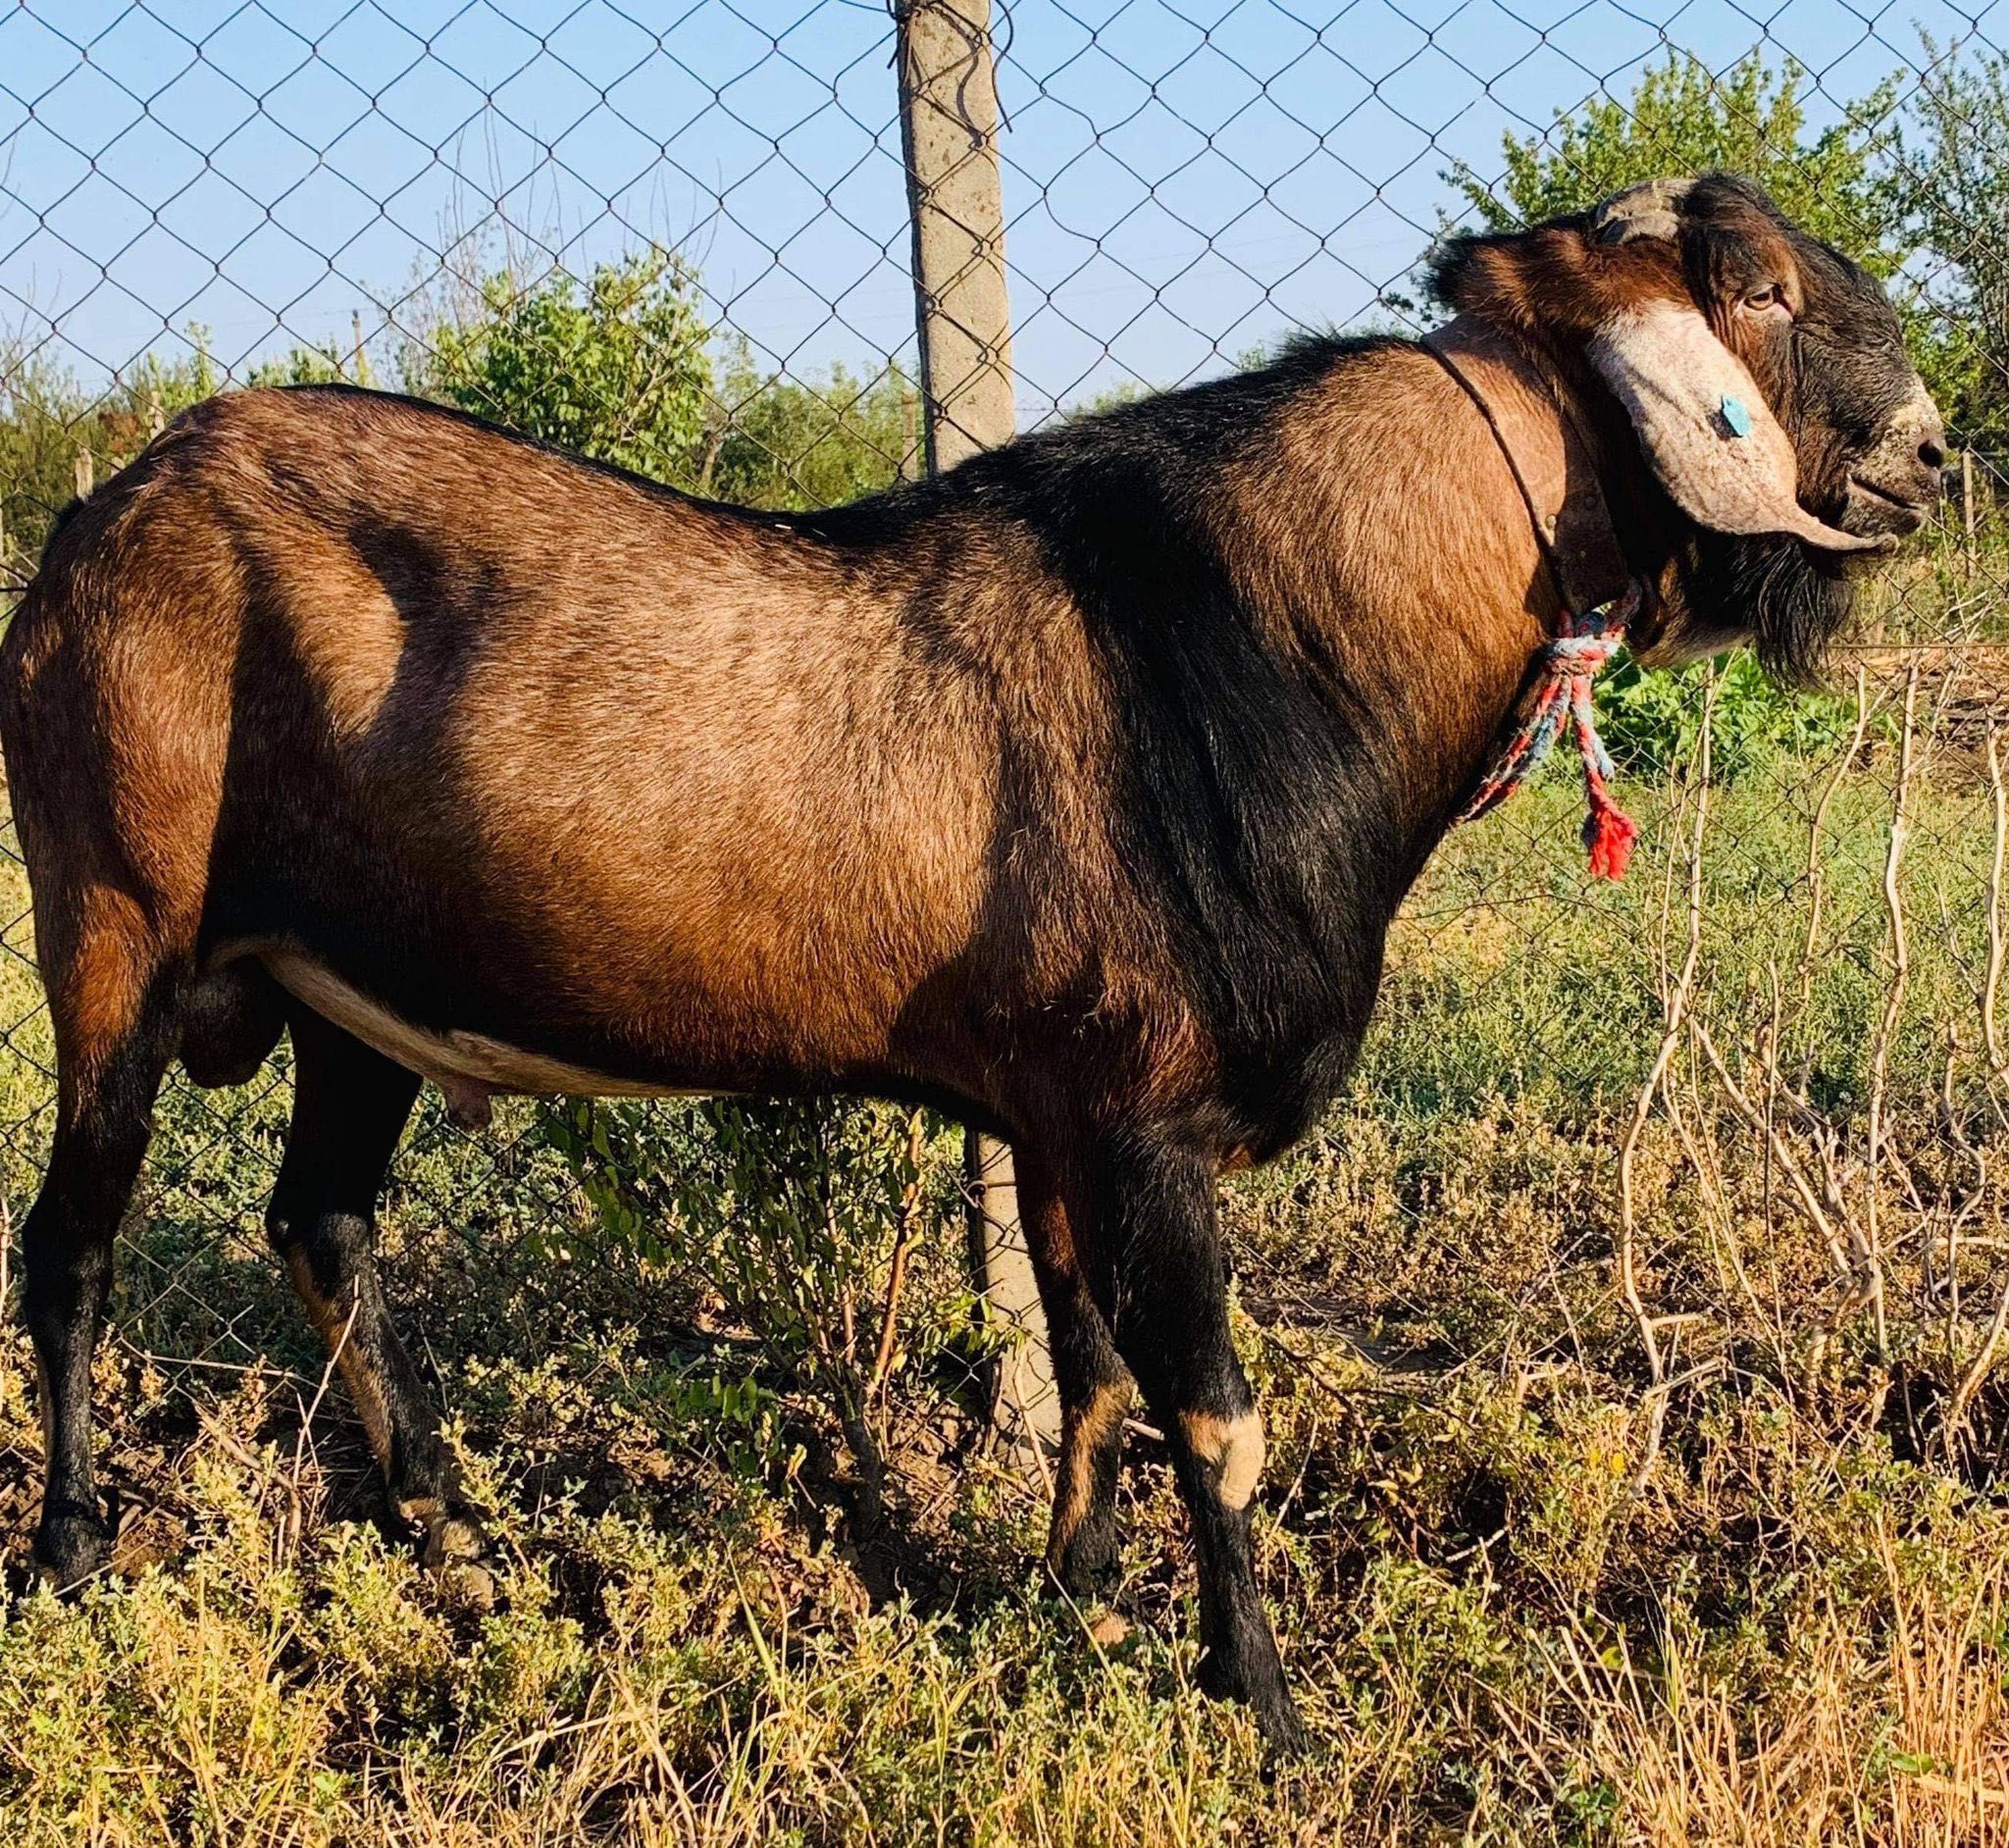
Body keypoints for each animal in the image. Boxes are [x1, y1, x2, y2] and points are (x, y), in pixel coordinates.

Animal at [0, 173, 1944, 1743]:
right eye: (1761, 287)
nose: (1934, 453)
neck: (1255, 639)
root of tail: (110, 507)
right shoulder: (1148, 1118)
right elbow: (1212, 1411)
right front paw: (1261, 1705)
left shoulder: (1056, 1105)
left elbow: (1086, 1363)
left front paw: (1068, 1604)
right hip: (111, 920)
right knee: (72, 1240)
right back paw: (79, 1549)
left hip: (356, 997)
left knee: (319, 1218)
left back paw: (449, 1522)